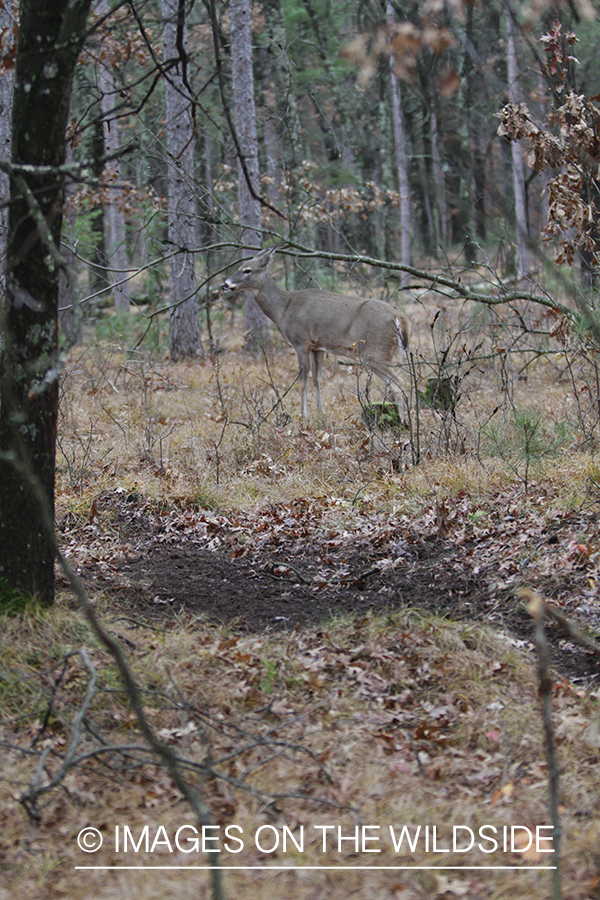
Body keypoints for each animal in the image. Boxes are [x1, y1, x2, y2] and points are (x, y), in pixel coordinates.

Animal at [221, 248, 411, 419]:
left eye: (247, 270)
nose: (224, 284)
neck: (282, 310)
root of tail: (399, 316)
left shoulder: (300, 342)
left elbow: (303, 380)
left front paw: (303, 414)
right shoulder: (317, 347)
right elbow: (317, 379)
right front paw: (321, 412)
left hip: (374, 351)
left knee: (399, 383)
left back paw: (403, 422)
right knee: (395, 383)